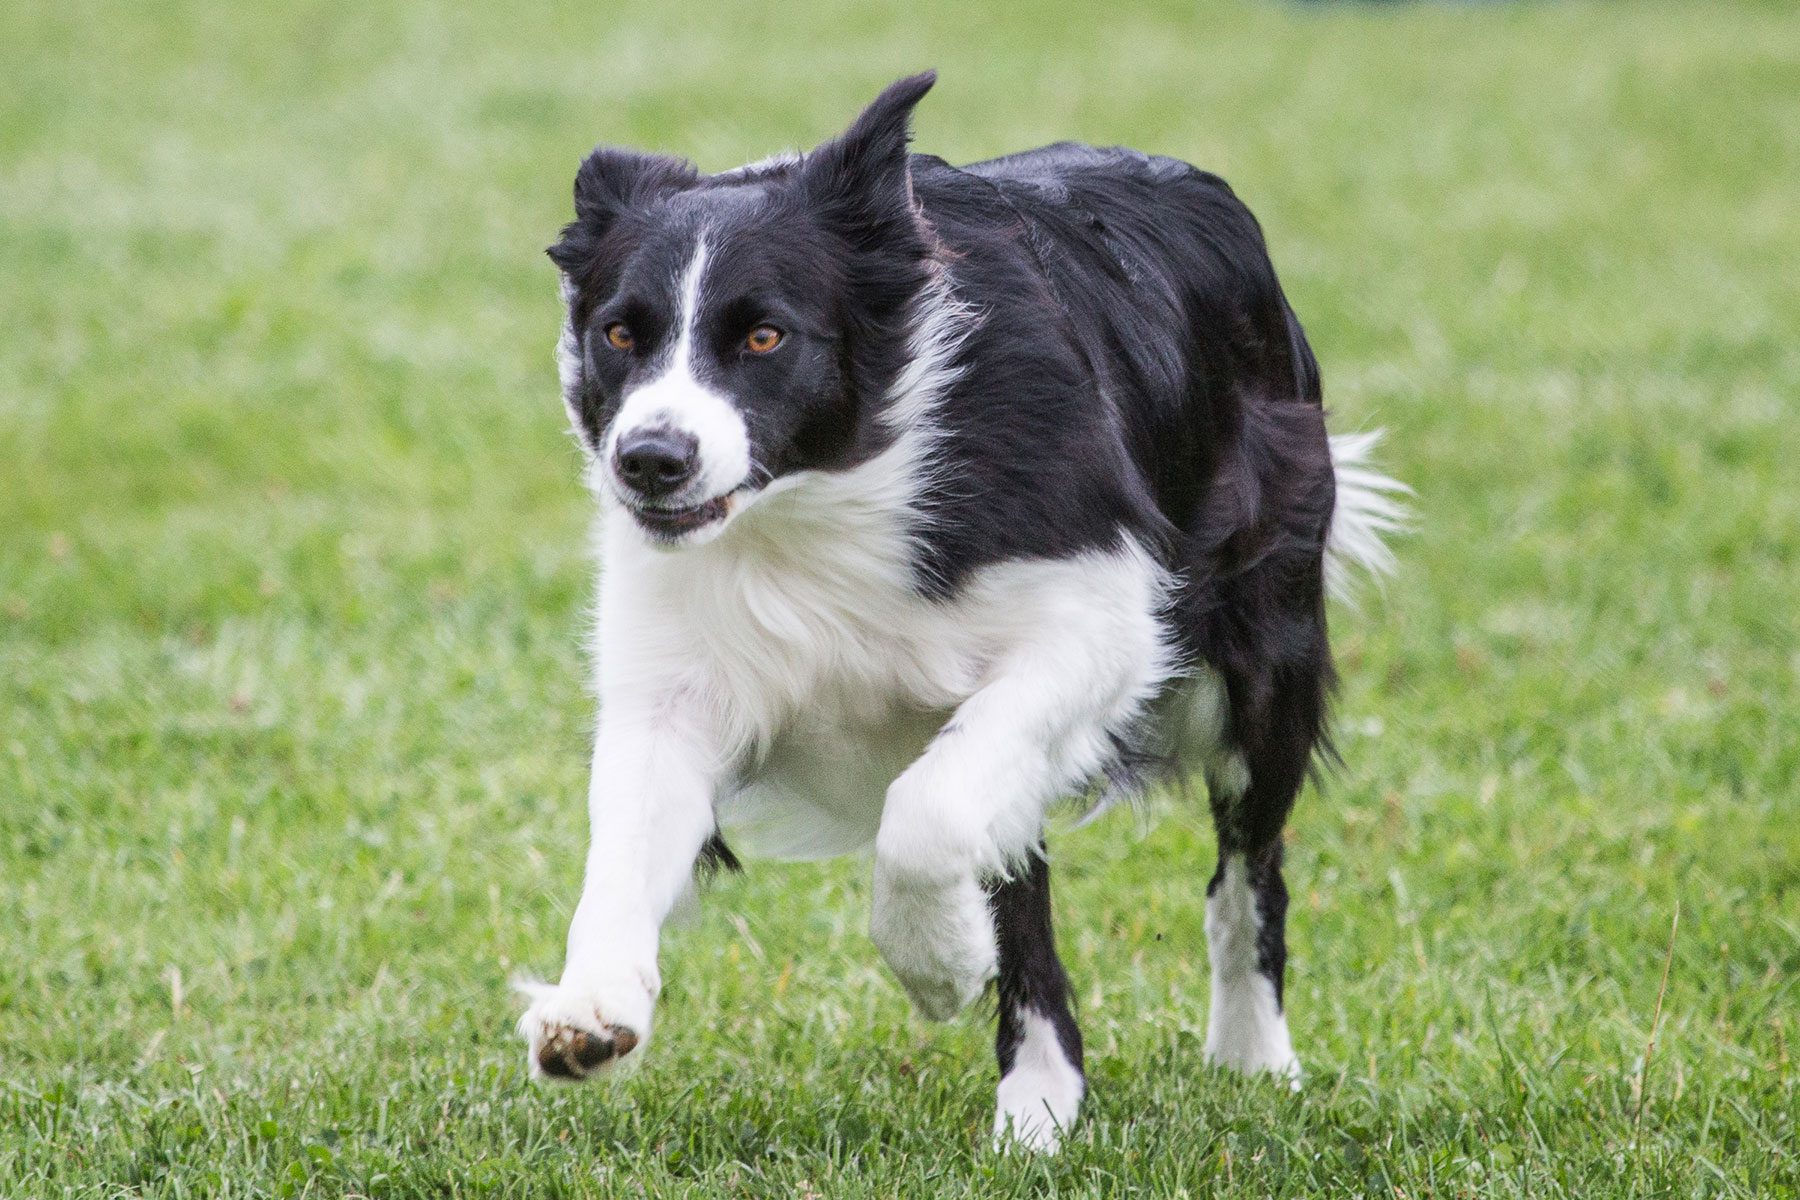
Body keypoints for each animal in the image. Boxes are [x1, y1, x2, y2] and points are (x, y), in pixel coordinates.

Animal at [522, 75, 1404, 1151]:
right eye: (619, 333)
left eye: (765, 336)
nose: (650, 460)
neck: (821, 500)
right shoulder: (680, 668)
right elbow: (624, 842)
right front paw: (589, 1009)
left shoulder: (1100, 622)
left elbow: (927, 815)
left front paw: (939, 966)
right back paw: (1040, 1102)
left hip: (1260, 663)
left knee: (1248, 867)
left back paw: (1250, 1058)